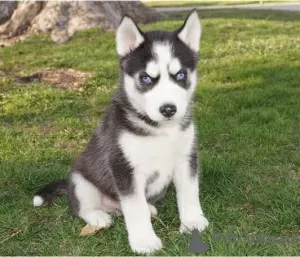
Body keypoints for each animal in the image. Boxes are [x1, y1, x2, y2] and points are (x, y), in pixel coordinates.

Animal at [33, 11, 209, 253]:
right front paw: (144, 241)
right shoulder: (124, 166)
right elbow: (134, 207)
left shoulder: (186, 157)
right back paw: (98, 217)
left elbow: (189, 192)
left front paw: (192, 222)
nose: (168, 109)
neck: (160, 129)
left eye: (181, 75)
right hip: (80, 180)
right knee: (80, 208)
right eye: (146, 78)